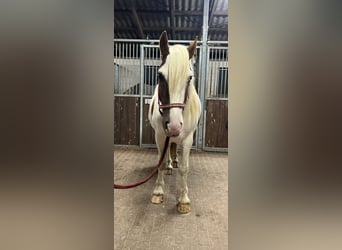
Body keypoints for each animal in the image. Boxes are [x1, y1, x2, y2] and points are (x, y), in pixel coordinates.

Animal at [148, 31, 202, 214]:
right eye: (160, 76)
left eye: (190, 78)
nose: (173, 125)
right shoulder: (159, 136)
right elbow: (161, 163)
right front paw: (158, 191)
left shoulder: (187, 139)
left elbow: (185, 168)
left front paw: (184, 200)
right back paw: (171, 166)